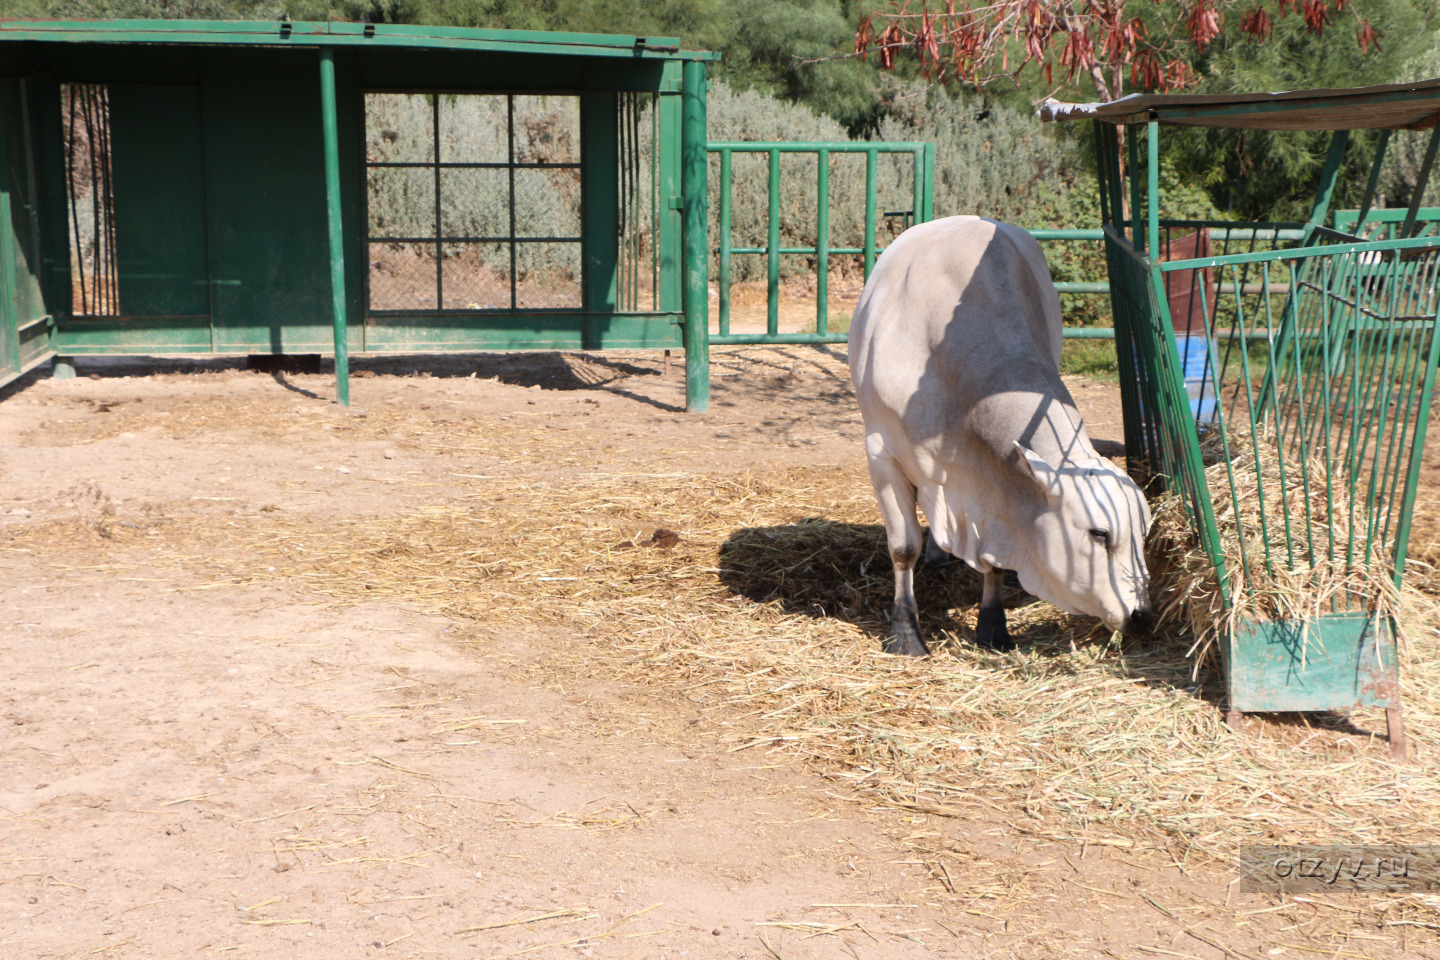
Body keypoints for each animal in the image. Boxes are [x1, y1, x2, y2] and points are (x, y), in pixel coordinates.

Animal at [846, 215, 1152, 653]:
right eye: (1099, 533)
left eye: (1143, 531)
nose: (1141, 616)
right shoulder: (881, 453)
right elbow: (903, 547)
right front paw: (905, 633)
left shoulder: (994, 489)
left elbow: (993, 560)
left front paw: (992, 624)